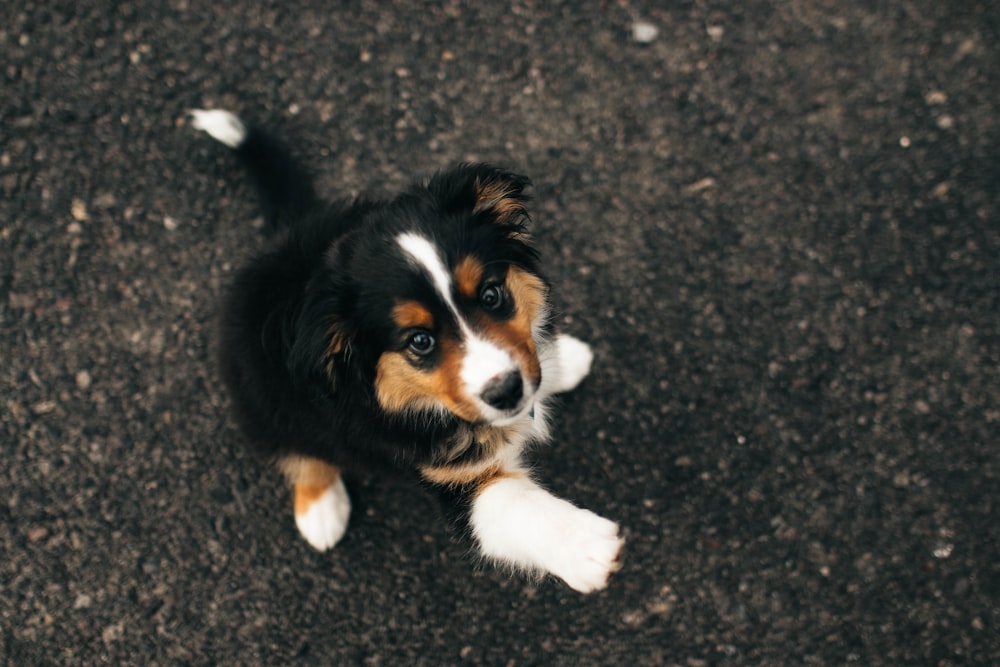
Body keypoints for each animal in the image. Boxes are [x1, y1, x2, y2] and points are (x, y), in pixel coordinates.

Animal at [190, 111, 620, 596]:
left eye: (491, 295)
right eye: (420, 341)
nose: (507, 392)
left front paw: (559, 360)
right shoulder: (445, 477)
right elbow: (510, 506)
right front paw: (586, 547)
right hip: (261, 399)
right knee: (298, 454)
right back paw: (320, 509)